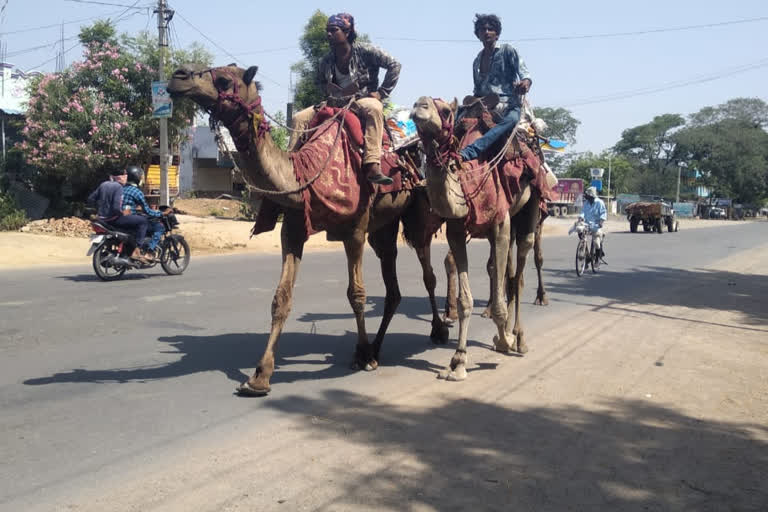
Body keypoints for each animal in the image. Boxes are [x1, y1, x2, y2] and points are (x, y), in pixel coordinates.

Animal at [165, 66, 448, 396]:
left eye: (224, 80)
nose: (179, 77)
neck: (307, 173)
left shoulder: (355, 229)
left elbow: (357, 294)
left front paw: (360, 355)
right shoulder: (293, 229)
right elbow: (281, 298)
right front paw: (260, 376)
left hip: (416, 213)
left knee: (427, 271)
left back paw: (437, 330)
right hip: (384, 225)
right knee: (393, 284)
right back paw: (378, 348)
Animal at [412, 97, 544, 380]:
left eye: (446, 110)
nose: (420, 105)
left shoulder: (501, 225)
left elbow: (500, 302)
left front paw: (504, 340)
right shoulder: (457, 232)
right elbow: (465, 300)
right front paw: (458, 362)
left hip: (530, 208)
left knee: (520, 271)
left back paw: (519, 338)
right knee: (505, 272)